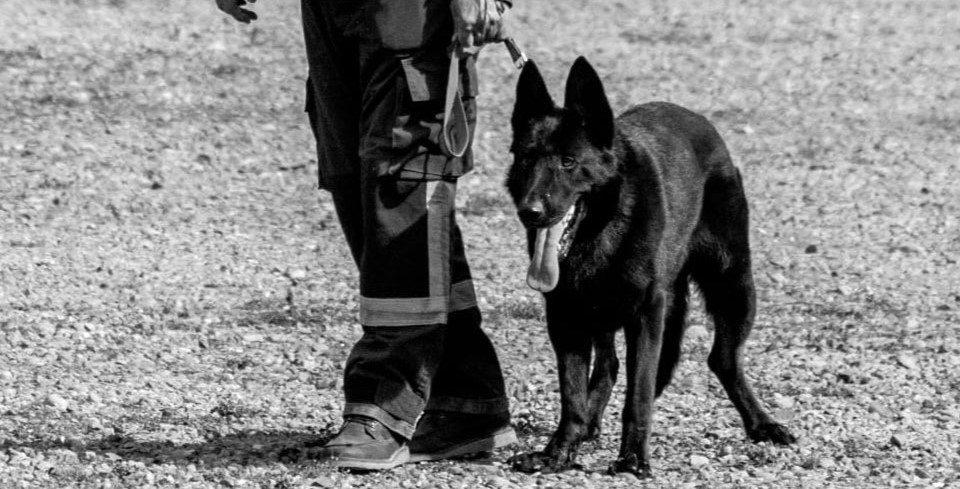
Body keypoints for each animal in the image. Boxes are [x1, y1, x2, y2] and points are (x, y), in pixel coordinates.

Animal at [502, 57, 796, 476]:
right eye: (527, 159)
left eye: (568, 162)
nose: (531, 212)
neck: (604, 230)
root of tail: (697, 119)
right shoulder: (566, 317)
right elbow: (572, 393)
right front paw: (557, 452)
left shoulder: (646, 314)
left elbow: (638, 394)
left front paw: (632, 457)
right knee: (608, 365)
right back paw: (589, 427)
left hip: (732, 285)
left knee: (723, 359)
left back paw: (762, 423)